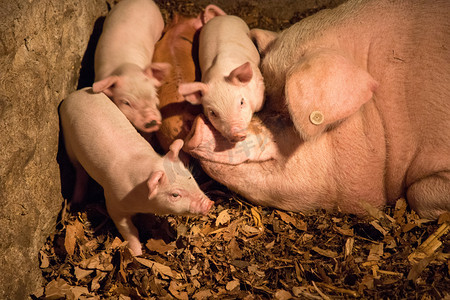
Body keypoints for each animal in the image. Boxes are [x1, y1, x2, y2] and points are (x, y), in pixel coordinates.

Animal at [60, 87, 214, 255]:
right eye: (175, 195)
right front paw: (137, 254)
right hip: (68, 142)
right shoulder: (113, 203)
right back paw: (76, 201)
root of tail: (75, 94)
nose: (209, 203)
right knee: (79, 170)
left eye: (191, 178)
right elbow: (129, 230)